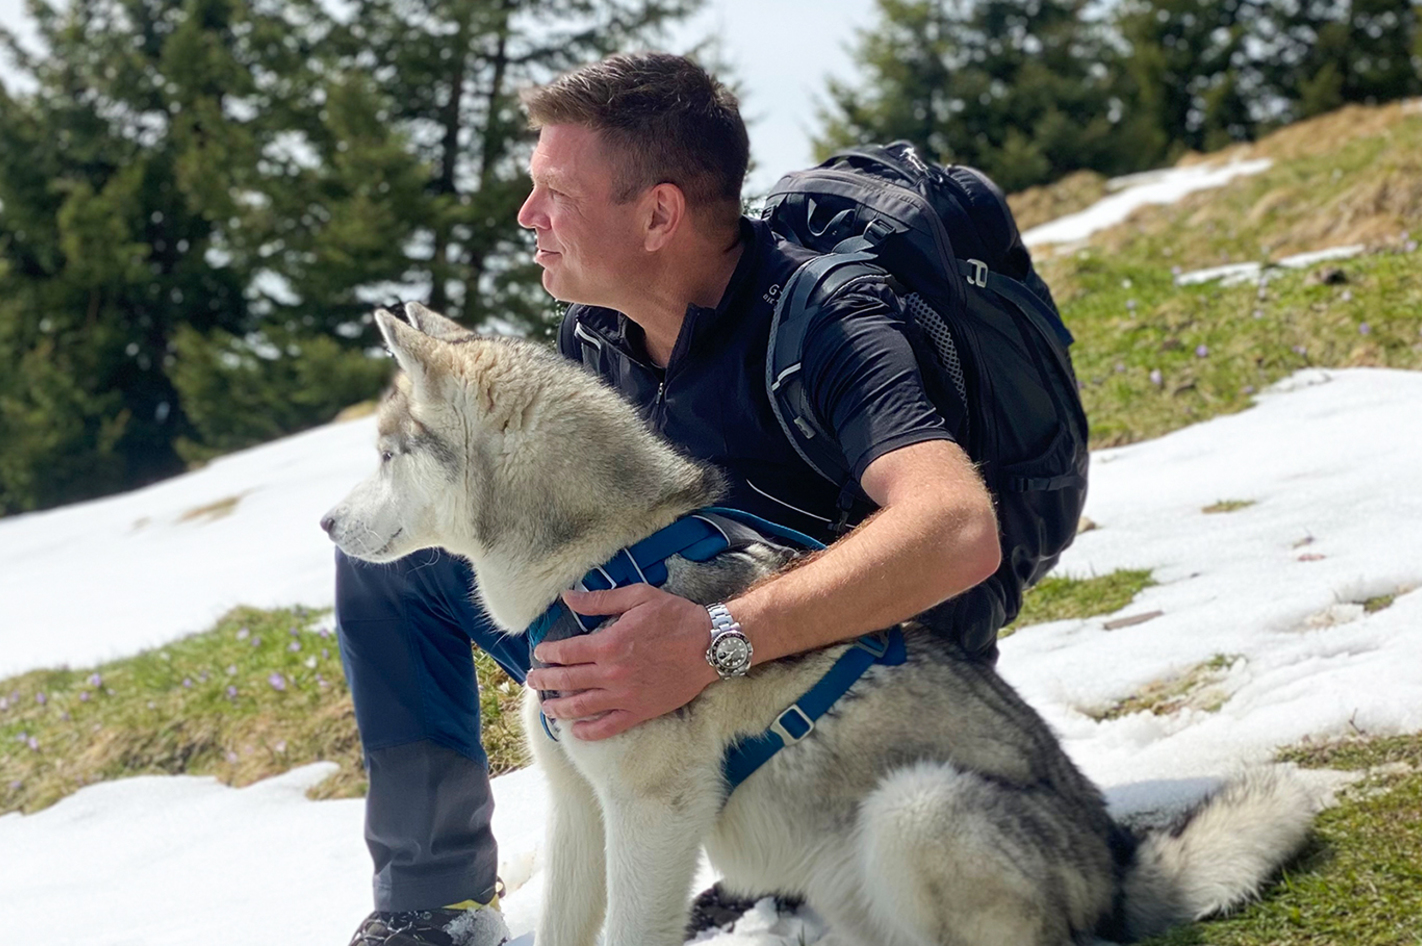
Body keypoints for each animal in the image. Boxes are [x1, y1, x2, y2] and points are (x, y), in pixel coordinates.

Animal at [327, 304, 1313, 944]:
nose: (325, 525)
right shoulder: (578, 808)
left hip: (916, 805)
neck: (598, 561)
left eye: (384, 455)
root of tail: (1117, 861)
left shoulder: (652, 813)